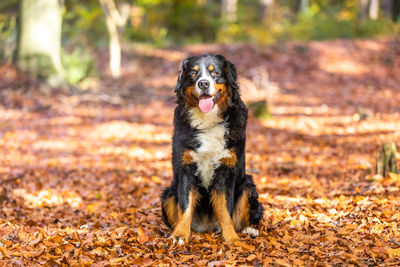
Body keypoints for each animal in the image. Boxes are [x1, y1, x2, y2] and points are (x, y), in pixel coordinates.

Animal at [161, 54, 264, 245]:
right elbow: (185, 206)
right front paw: (180, 235)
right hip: (168, 194)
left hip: (247, 185)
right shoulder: (186, 168)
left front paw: (231, 238)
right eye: (193, 74)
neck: (208, 122)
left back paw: (250, 229)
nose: (203, 83)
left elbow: (225, 209)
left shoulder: (226, 171)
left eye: (214, 73)